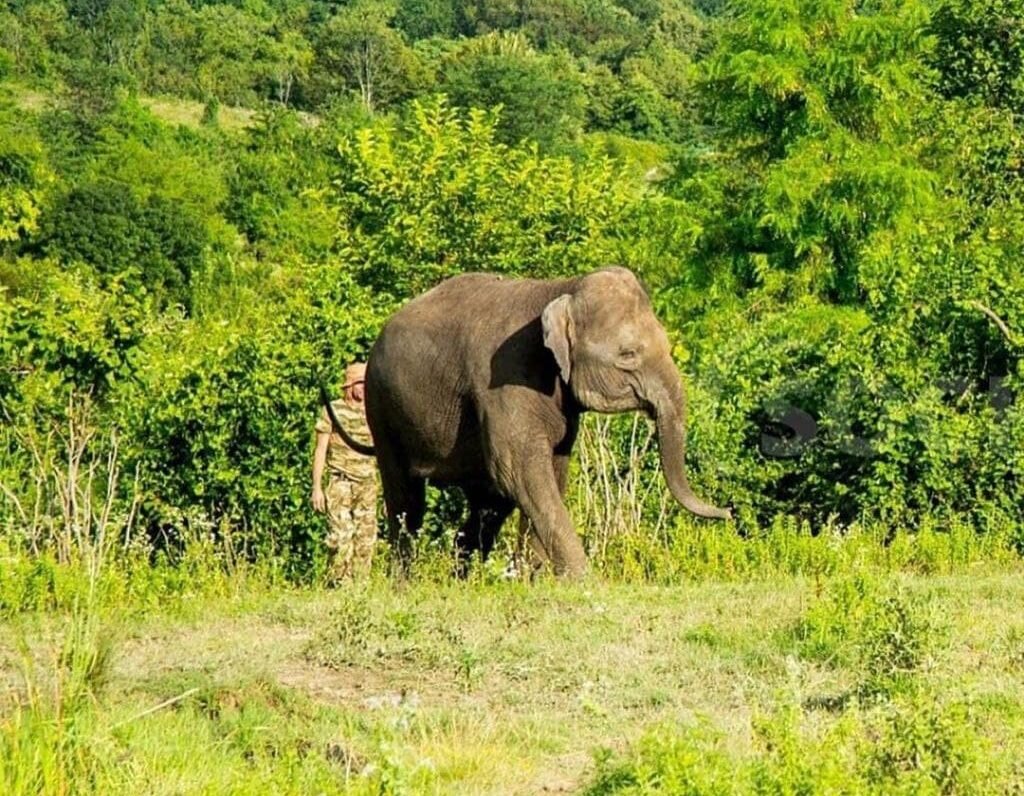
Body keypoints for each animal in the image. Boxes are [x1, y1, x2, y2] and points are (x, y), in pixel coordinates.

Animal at [321, 266, 729, 577]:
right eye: (628, 355)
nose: (726, 512)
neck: (561, 288)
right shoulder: (504, 378)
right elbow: (519, 469)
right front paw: (584, 582)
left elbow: (552, 472)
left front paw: (538, 579)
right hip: (384, 410)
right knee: (407, 501)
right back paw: (404, 583)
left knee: (487, 505)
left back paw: (462, 580)